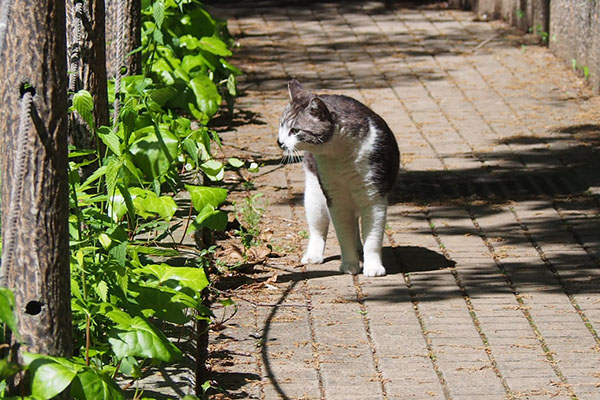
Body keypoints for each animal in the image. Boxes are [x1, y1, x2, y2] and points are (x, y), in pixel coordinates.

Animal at [276, 79, 398, 276]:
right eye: (281, 125)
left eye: (294, 130)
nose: (279, 142)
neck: (340, 155)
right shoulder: (336, 200)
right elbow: (344, 236)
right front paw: (349, 265)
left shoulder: (374, 198)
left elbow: (373, 238)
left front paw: (373, 267)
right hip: (315, 196)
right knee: (318, 230)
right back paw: (314, 255)